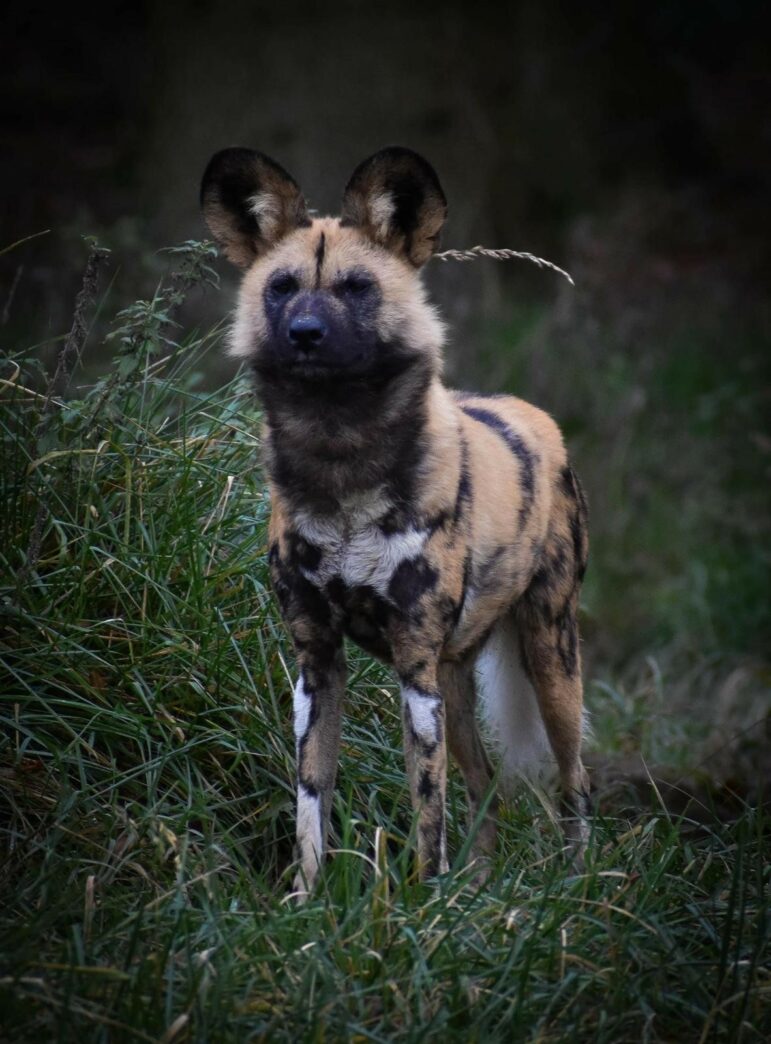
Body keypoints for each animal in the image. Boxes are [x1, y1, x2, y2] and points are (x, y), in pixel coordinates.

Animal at [200, 145, 592, 897]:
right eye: (281, 287)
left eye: (356, 287)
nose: (305, 334)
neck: (339, 461)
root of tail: (534, 415)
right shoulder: (316, 664)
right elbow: (311, 799)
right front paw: (306, 900)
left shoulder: (412, 664)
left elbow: (425, 807)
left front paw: (420, 900)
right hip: (454, 680)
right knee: (484, 785)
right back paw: (476, 893)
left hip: (548, 657)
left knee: (574, 781)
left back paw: (580, 888)